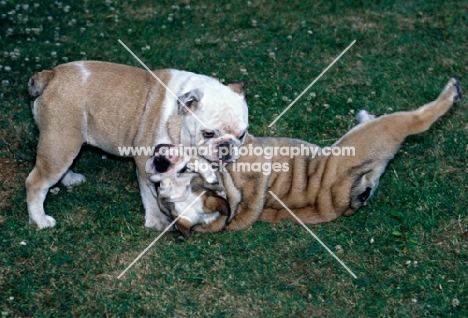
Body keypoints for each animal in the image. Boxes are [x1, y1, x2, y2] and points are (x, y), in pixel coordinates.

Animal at [25, 60, 249, 229]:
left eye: (242, 134)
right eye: (208, 133)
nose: (226, 147)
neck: (178, 119)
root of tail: (51, 74)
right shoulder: (146, 164)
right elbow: (150, 196)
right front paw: (156, 220)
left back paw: (70, 179)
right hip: (61, 141)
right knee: (36, 183)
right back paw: (40, 220)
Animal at [149, 77, 460, 236]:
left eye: (184, 172)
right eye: (161, 188)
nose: (159, 164)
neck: (227, 190)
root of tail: (346, 196)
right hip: (377, 134)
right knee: (417, 120)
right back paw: (449, 94)